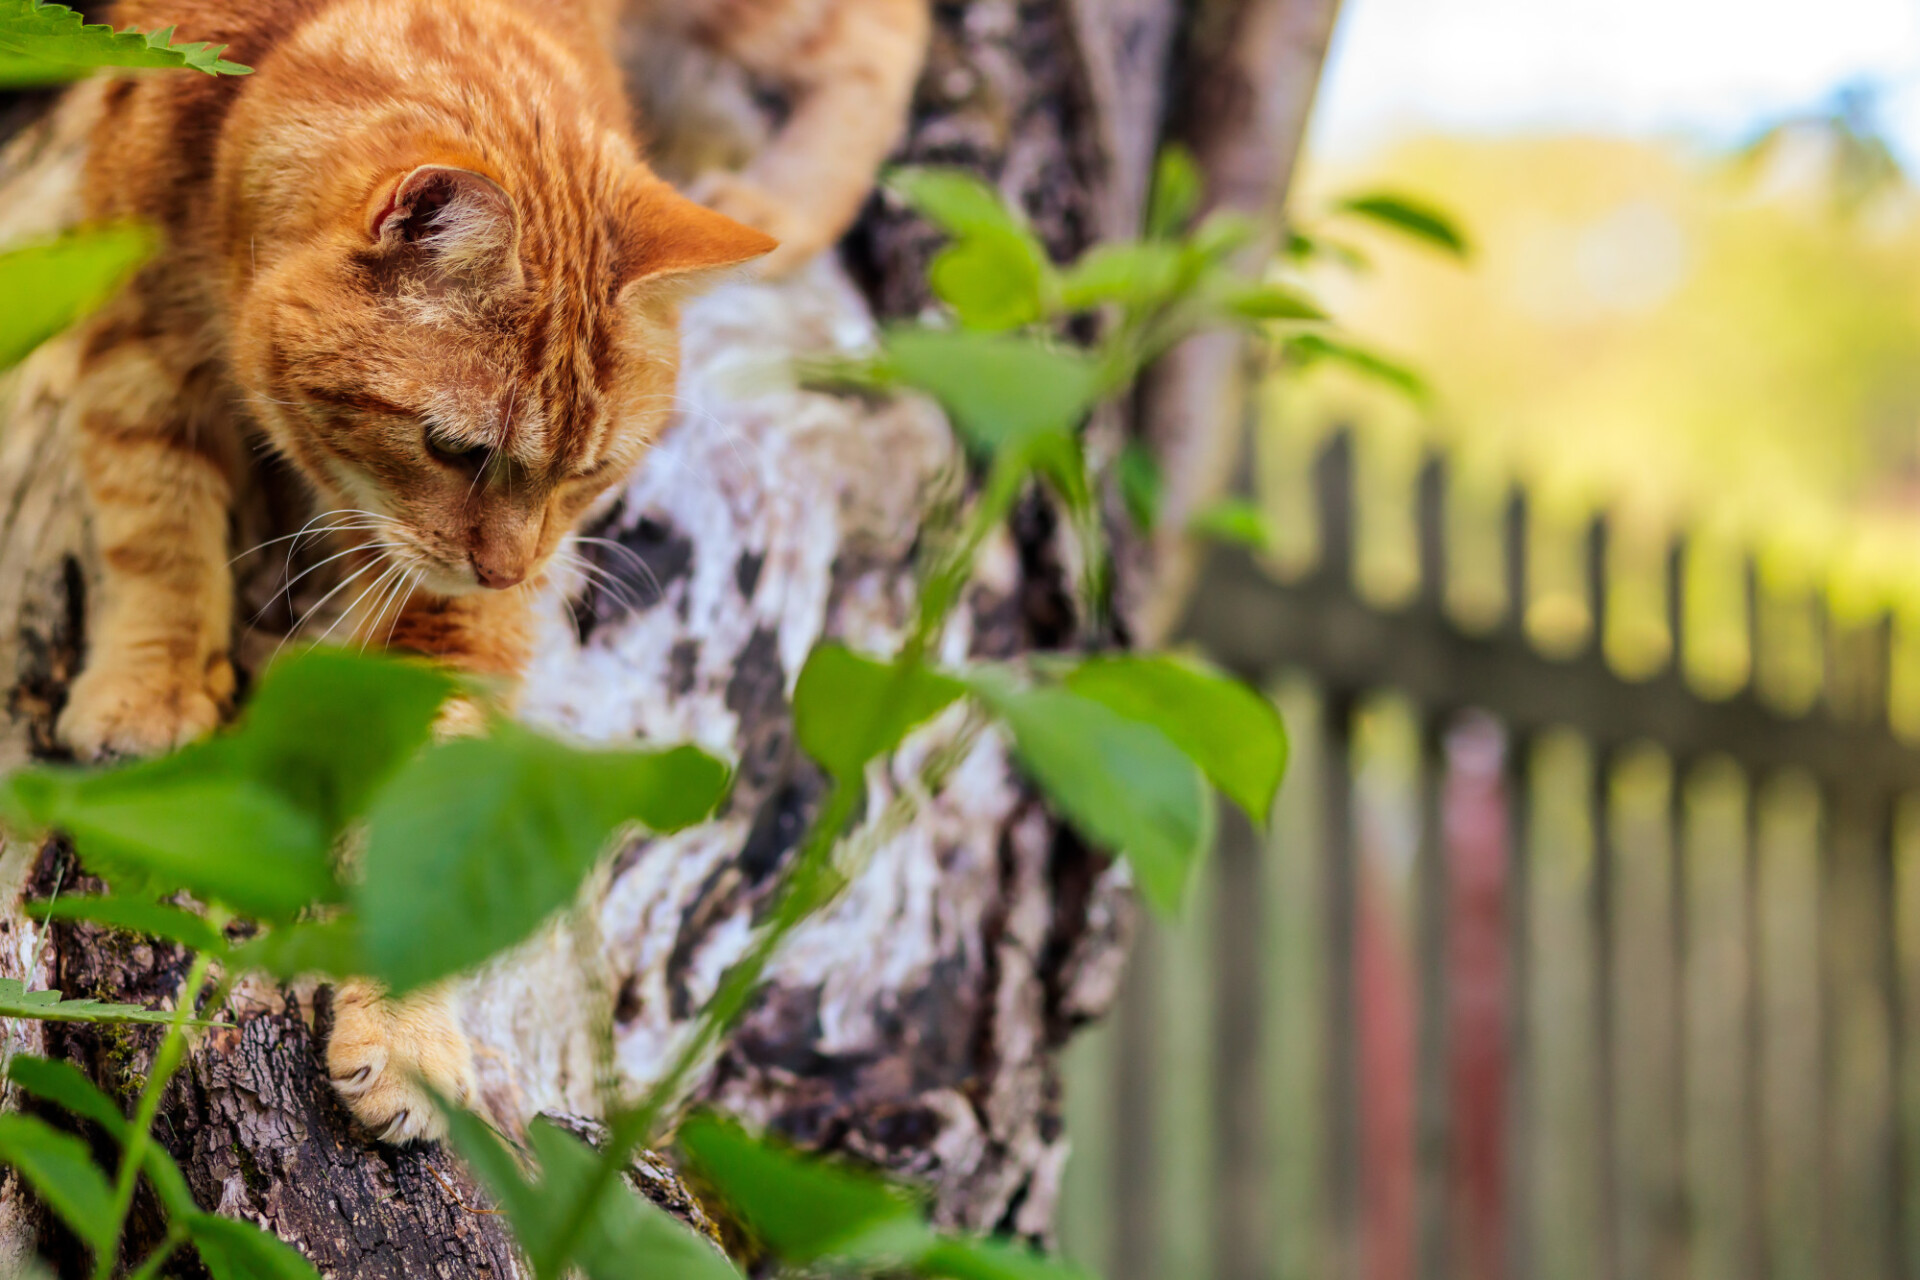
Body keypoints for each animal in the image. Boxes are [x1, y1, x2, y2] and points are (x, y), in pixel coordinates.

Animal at [58, 0, 921, 1143]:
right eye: (454, 449)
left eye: (589, 470)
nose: (509, 571)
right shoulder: (130, 319)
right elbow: (154, 514)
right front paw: (152, 683)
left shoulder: (447, 620)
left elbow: (426, 832)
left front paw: (406, 1032)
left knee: (883, 41)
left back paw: (788, 200)